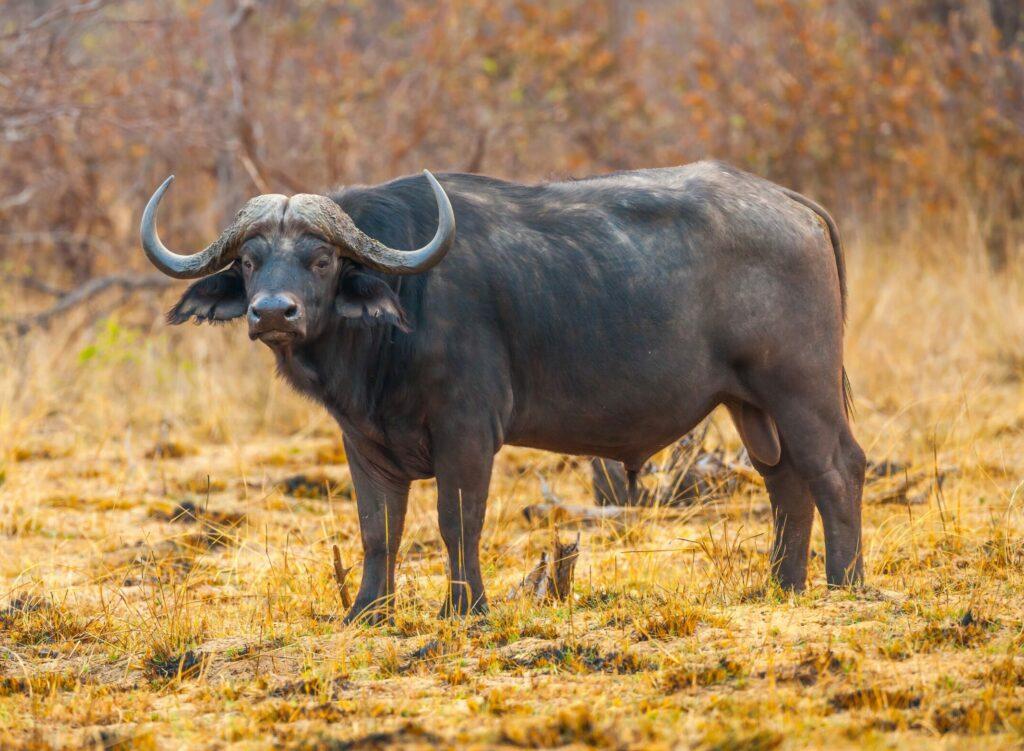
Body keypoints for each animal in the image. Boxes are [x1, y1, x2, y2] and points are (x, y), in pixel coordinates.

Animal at [140, 161, 865, 621]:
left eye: (320, 259)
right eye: (249, 260)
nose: (272, 313)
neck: (402, 312)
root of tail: (796, 206)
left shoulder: (466, 431)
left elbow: (457, 520)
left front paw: (464, 607)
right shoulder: (364, 443)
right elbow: (379, 528)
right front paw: (367, 611)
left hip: (801, 388)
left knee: (837, 469)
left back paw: (845, 583)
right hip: (752, 405)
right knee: (785, 482)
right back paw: (782, 586)